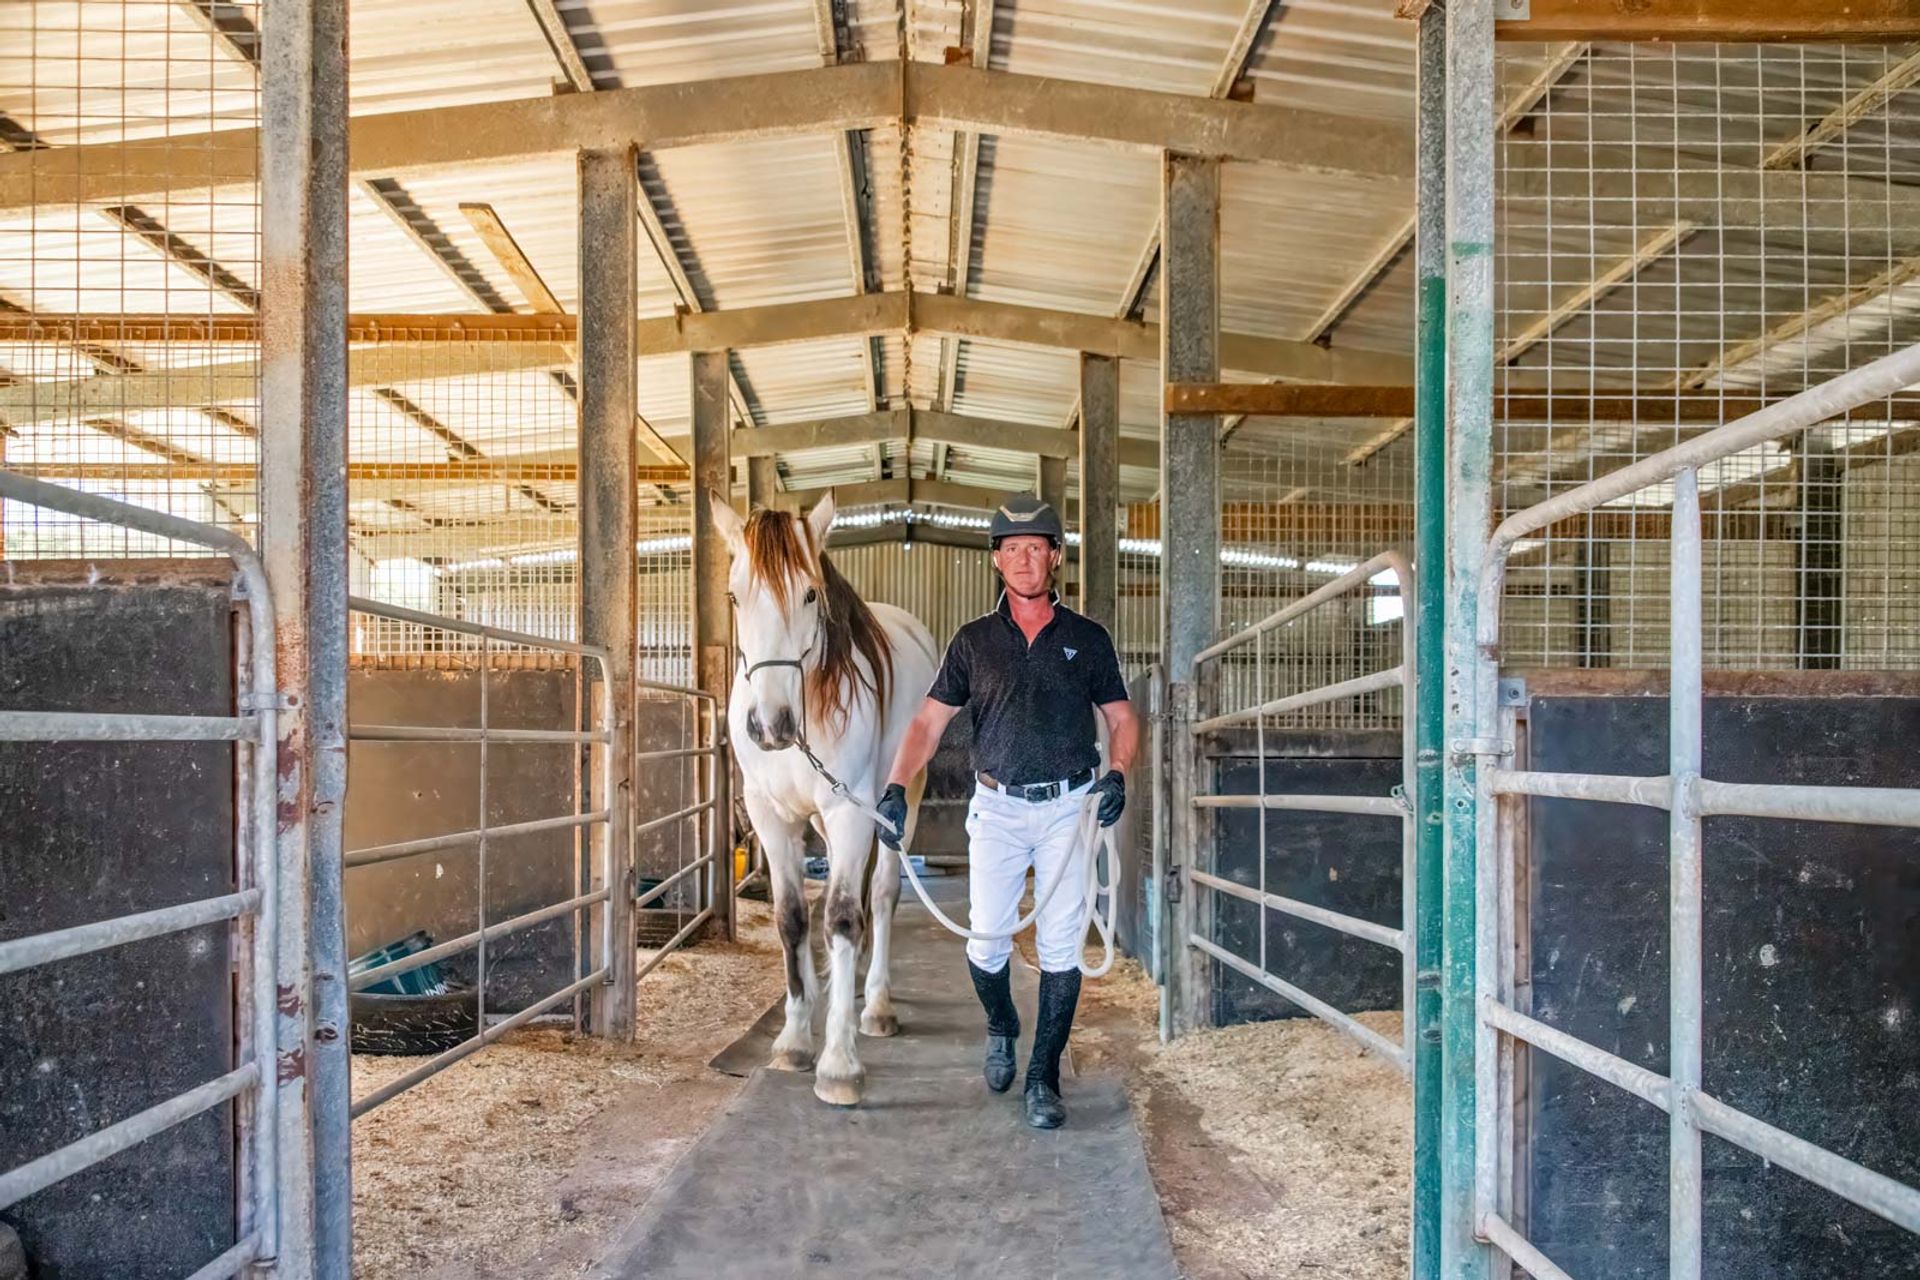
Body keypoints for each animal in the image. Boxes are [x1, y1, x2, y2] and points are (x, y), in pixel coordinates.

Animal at [710, 493, 941, 1106]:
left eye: (810, 593)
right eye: (734, 596)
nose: (770, 725)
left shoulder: (847, 812)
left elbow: (840, 916)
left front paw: (838, 1063)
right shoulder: (772, 818)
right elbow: (793, 918)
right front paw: (794, 1037)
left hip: (896, 806)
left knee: (879, 897)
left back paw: (876, 1004)